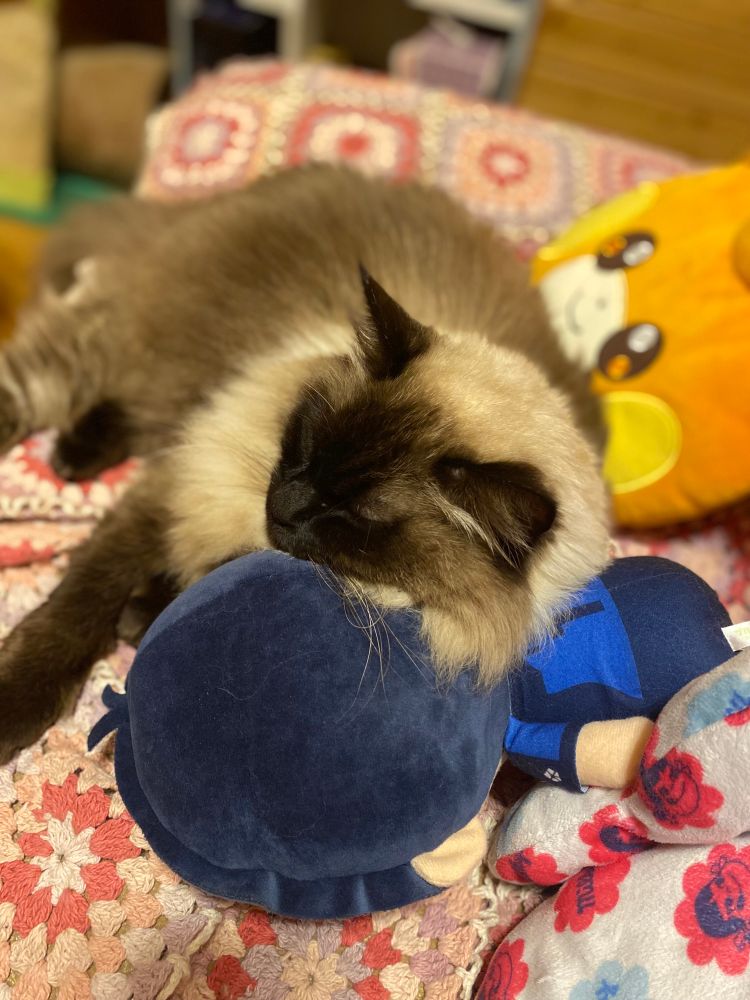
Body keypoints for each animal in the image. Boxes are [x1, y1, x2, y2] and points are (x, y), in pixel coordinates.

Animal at [0, 164, 610, 763]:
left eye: (359, 515)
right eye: (311, 443)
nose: (284, 504)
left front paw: (144, 610)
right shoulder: (183, 487)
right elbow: (84, 598)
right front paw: (18, 702)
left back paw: (76, 459)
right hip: (109, 355)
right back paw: (70, 460)